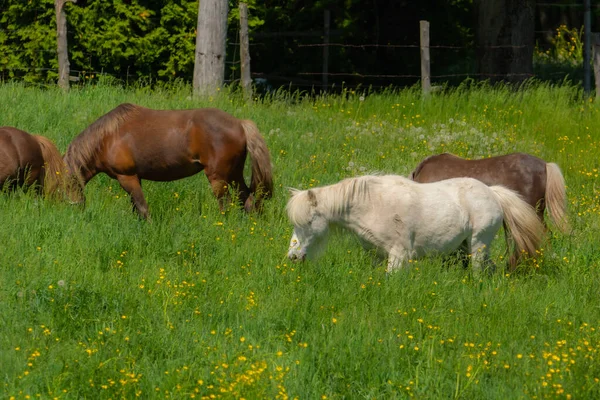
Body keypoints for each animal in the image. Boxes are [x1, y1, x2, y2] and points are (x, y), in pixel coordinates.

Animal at [63, 103, 274, 219]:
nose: (70, 211)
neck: (108, 138)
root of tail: (240, 123)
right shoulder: (136, 178)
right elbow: (136, 208)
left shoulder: (127, 177)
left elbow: (142, 208)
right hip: (235, 174)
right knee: (247, 200)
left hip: (218, 178)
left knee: (226, 205)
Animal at [286, 173, 544, 274]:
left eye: (309, 221)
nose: (292, 256)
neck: (372, 204)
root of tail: (492, 192)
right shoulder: (375, 255)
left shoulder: (399, 255)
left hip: (478, 244)